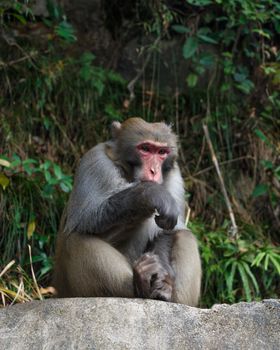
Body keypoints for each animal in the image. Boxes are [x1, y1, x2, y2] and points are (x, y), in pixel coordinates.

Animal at [53, 116, 201, 304]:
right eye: (145, 149)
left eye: (161, 152)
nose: (154, 171)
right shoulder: (95, 161)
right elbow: (85, 220)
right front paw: (151, 193)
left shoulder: (175, 175)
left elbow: (169, 231)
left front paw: (163, 280)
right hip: (69, 288)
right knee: (77, 239)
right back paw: (140, 284)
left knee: (185, 236)